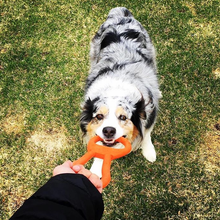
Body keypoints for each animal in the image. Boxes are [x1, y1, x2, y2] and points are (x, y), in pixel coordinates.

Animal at [80, 7, 161, 178]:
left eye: (123, 117)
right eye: (99, 116)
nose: (109, 130)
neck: (116, 88)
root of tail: (120, 14)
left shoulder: (150, 114)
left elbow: (146, 135)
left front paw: (148, 151)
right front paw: (95, 170)